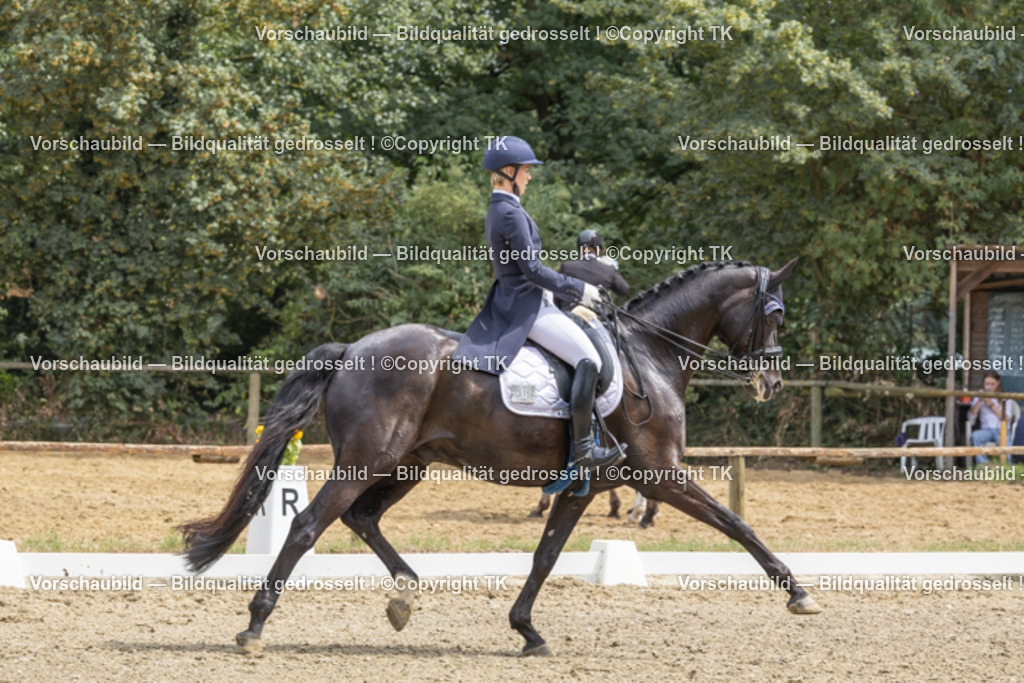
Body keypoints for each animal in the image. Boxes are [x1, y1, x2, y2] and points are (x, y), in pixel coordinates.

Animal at [179, 258, 819, 657]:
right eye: (777, 314)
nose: (772, 383)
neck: (650, 355)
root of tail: (352, 348)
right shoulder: (660, 474)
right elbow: (736, 522)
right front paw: (797, 593)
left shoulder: (585, 486)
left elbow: (545, 556)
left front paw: (527, 631)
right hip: (368, 459)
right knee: (311, 523)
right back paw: (255, 625)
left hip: (408, 462)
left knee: (363, 517)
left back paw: (405, 593)